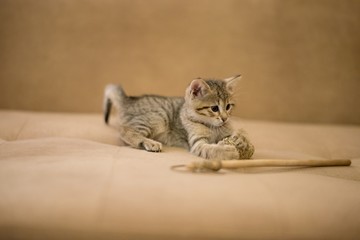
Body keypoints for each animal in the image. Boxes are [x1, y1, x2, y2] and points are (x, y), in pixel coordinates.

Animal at [102, 75, 255, 160]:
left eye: (228, 106)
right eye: (214, 108)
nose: (224, 118)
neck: (213, 127)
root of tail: (129, 100)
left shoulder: (226, 132)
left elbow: (237, 134)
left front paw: (242, 140)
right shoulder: (197, 143)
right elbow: (210, 149)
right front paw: (227, 151)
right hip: (157, 117)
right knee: (124, 131)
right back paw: (149, 143)